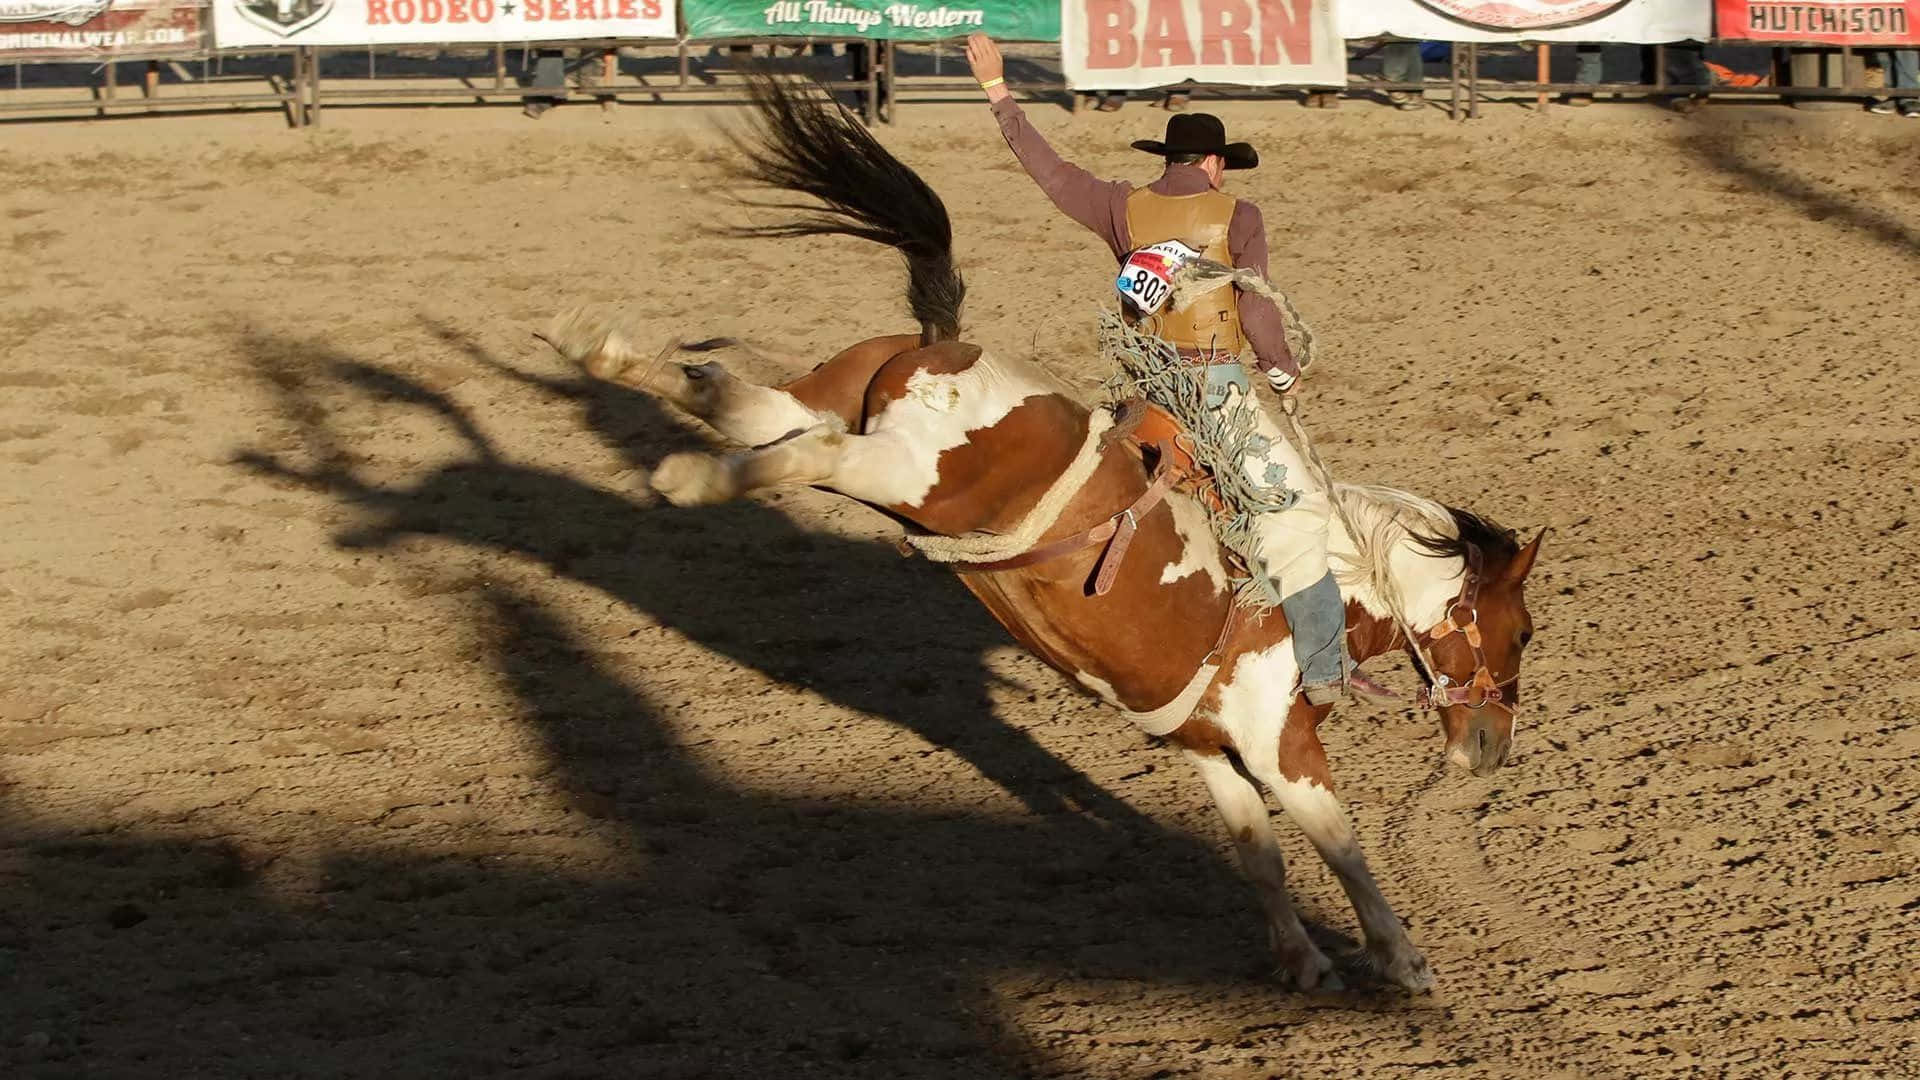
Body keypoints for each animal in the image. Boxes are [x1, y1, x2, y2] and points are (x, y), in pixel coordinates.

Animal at [540, 76, 1542, 993]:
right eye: (1524, 630)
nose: (1491, 746)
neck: (1338, 572)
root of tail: (940, 342)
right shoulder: (1279, 745)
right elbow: (1340, 843)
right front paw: (1403, 961)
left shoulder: (1208, 746)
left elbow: (1257, 851)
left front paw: (1300, 962)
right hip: (900, 468)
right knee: (805, 448)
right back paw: (688, 475)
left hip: (833, 409)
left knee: (734, 400)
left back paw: (597, 349)